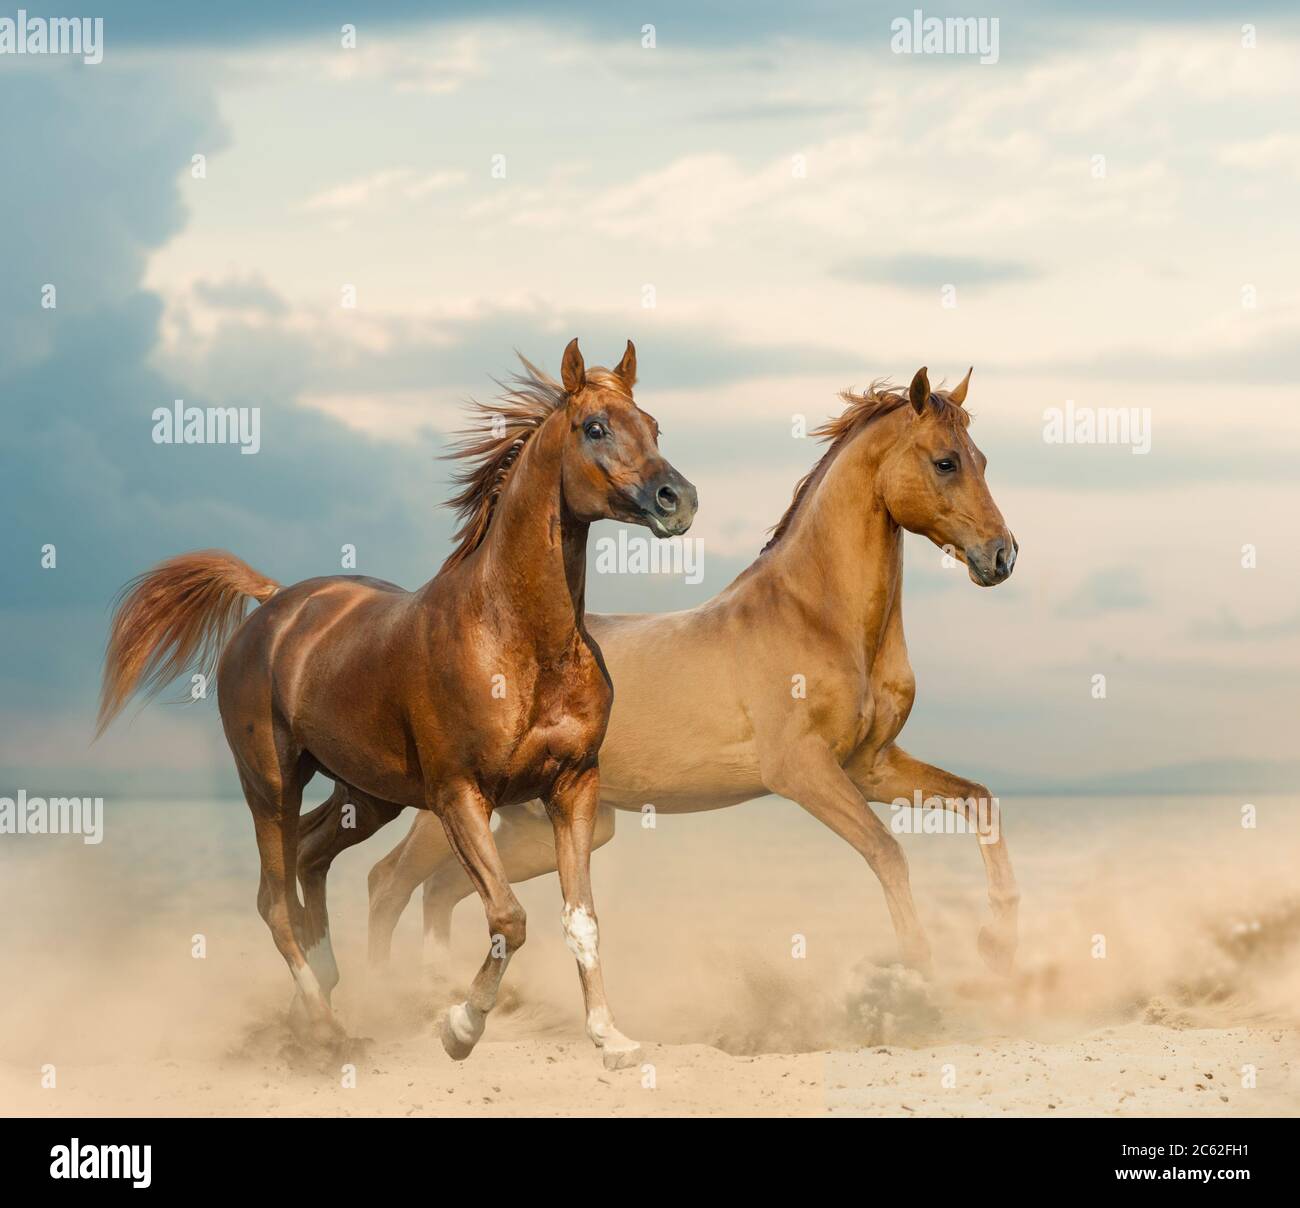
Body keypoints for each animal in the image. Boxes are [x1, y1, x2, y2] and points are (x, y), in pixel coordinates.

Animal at [97, 339, 697, 1070]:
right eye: (595, 427)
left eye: (655, 425)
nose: (678, 499)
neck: (521, 643)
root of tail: (272, 604)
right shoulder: (459, 794)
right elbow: (507, 916)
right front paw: (460, 1028)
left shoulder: (574, 784)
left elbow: (581, 919)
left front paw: (612, 1039)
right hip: (270, 783)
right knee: (274, 898)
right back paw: (326, 1029)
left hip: (368, 794)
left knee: (311, 857)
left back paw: (328, 995)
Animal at [358, 366, 1021, 984]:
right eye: (945, 462)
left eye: (983, 460)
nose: (1002, 556)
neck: (821, 618)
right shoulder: (802, 771)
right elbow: (888, 852)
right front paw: (920, 970)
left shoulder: (869, 766)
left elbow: (979, 801)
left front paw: (997, 944)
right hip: (455, 802)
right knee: (389, 881)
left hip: (547, 824)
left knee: (442, 889)